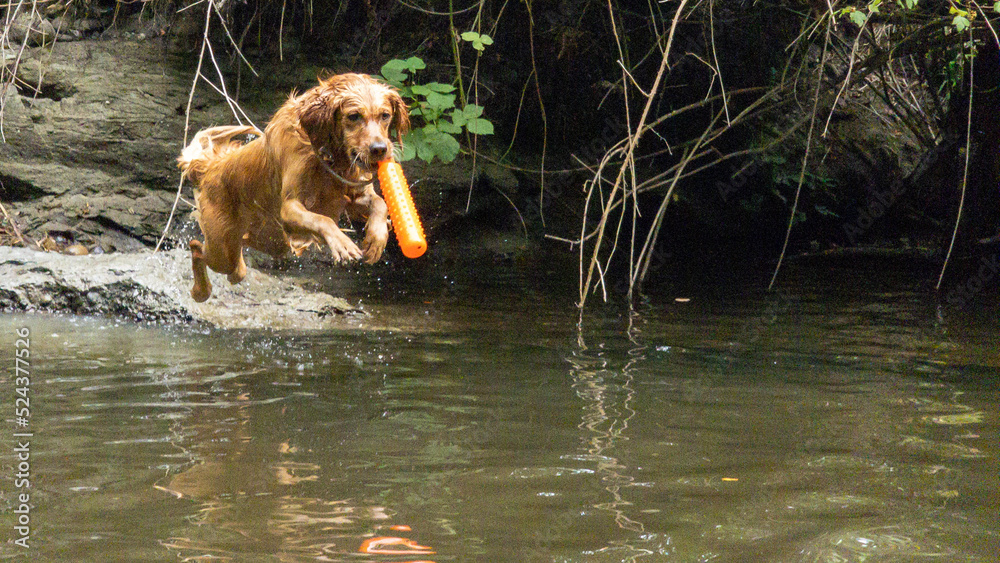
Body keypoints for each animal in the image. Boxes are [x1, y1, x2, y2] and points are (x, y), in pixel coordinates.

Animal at [180, 76, 410, 304]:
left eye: (385, 115)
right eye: (354, 116)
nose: (380, 149)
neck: (326, 152)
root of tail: (210, 167)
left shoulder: (355, 194)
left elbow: (380, 203)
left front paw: (376, 239)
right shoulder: (289, 208)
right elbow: (322, 220)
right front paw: (342, 244)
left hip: (262, 243)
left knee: (236, 269)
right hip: (223, 245)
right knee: (198, 248)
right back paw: (200, 290)